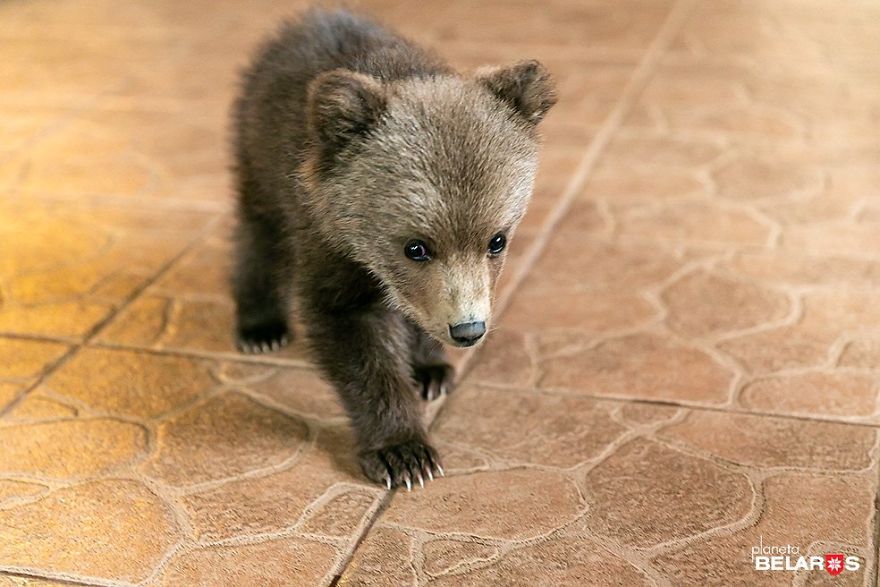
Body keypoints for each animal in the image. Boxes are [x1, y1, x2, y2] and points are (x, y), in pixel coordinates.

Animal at [231, 8, 556, 489]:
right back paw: (260, 326)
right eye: (415, 247)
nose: (469, 329)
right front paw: (404, 453)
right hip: (258, 153)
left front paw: (431, 369)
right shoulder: (329, 242)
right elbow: (356, 342)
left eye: (497, 240)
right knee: (259, 232)